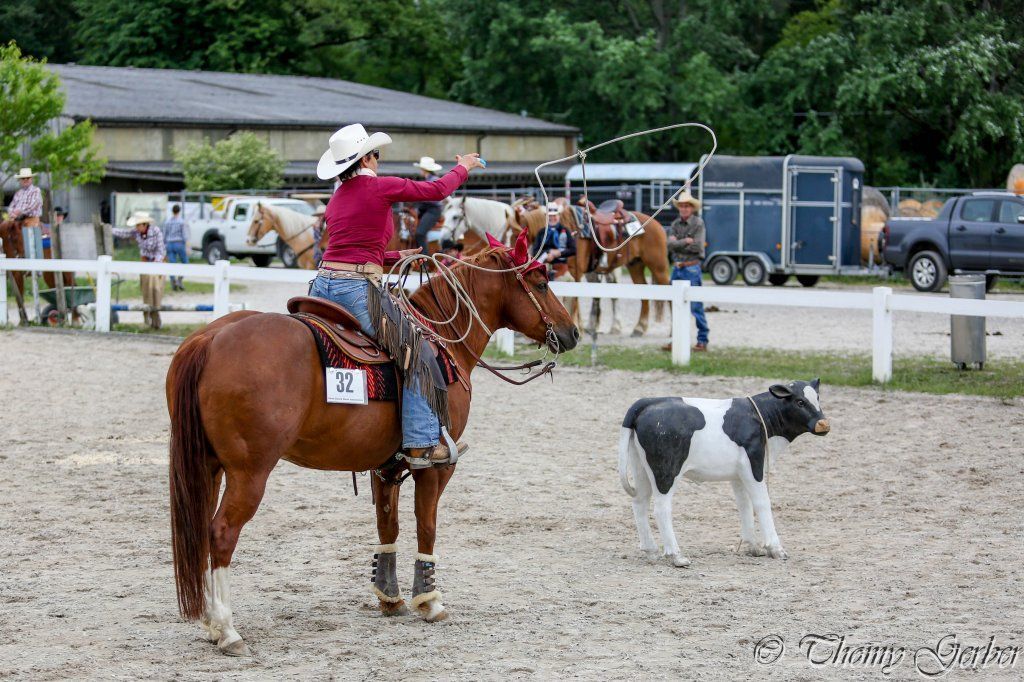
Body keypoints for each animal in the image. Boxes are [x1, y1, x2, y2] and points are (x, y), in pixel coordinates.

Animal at [165, 247, 579, 656]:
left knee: (201, 531)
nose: (571, 331)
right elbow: (426, 524)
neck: (444, 341)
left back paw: (209, 623)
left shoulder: (386, 466)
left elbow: (387, 524)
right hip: (249, 472)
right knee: (221, 533)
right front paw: (429, 601)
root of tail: (211, 339)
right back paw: (226, 629)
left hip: (209, 467)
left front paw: (389, 597)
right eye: (541, 284)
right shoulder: (436, 465)